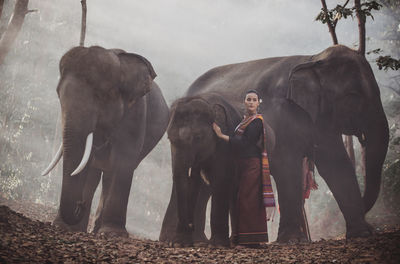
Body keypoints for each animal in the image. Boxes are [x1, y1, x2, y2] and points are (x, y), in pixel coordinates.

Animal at [41, 45, 170, 237]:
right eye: (58, 94)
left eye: (100, 96)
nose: (80, 205)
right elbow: (86, 163)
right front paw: (62, 226)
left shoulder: (136, 114)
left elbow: (123, 162)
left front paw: (113, 234)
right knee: (96, 173)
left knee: (111, 173)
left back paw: (99, 230)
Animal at [164, 43, 390, 243]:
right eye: (353, 96)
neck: (312, 59)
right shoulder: (283, 114)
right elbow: (287, 167)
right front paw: (293, 241)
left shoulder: (321, 121)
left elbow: (336, 164)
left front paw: (362, 234)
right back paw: (174, 241)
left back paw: (197, 240)